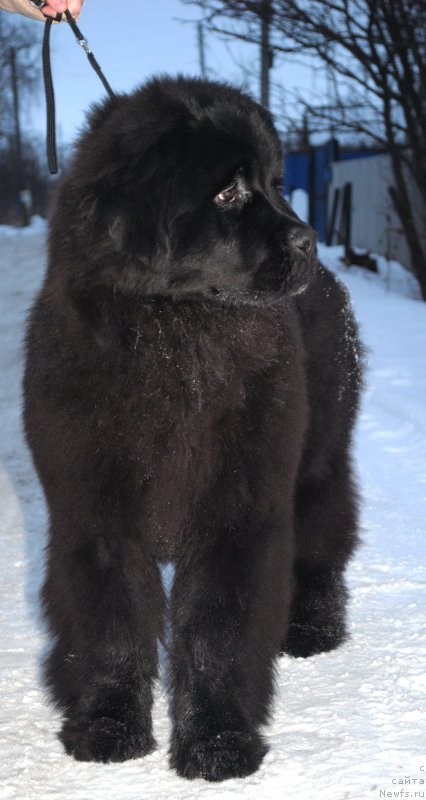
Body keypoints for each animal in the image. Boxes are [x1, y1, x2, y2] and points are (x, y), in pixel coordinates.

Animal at [23, 76, 362, 780]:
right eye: (228, 192)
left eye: (276, 182)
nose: (309, 239)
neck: (175, 336)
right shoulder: (94, 510)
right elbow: (113, 622)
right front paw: (109, 726)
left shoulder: (238, 506)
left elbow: (217, 626)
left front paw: (218, 743)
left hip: (318, 457)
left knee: (325, 531)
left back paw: (313, 626)